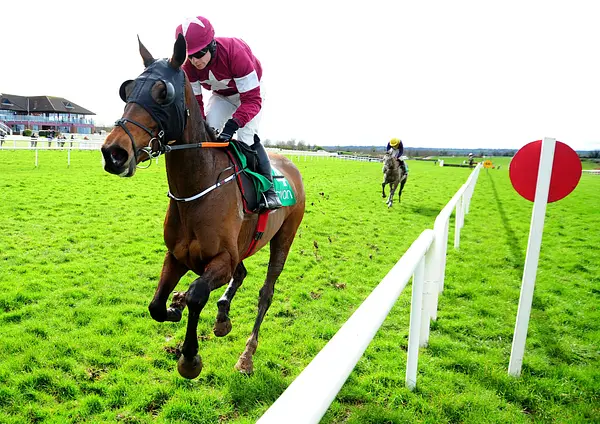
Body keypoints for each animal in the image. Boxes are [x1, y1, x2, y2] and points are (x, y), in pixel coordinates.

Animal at [100, 34, 305, 379]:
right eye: (127, 90)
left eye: (163, 93)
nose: (114, 152)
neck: (198, 189)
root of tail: (291, 166)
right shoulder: (176, 255)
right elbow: (156, 306)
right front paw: (175, 304)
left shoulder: (222, 259)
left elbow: (198, 293)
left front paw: (189, 357)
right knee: (242, 273)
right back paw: (221, 316)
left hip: (284, 238)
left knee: (266, 292)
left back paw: (247, 355)